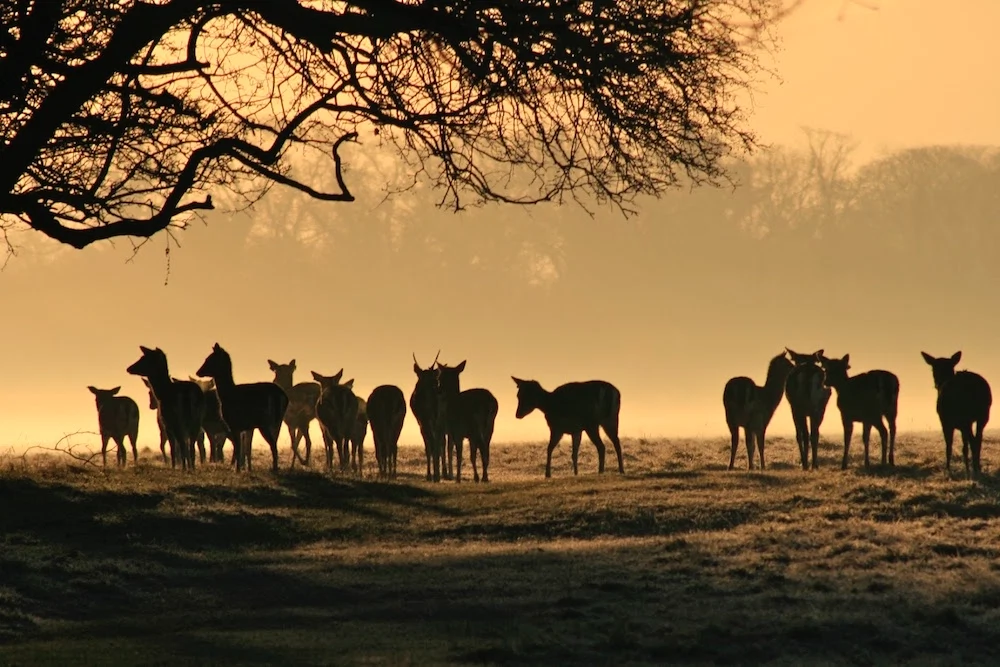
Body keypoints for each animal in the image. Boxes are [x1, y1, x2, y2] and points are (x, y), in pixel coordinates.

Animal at [196, 343, 289, 472]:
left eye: (210, 359)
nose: (198, 372)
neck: (226, 395)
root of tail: (282, 396)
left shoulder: (234, 423)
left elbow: (238, 447)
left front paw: (237, 470)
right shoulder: (246, 427)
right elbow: (245, 448)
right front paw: (244, 468)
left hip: (264, 421)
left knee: (273, 445)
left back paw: (274, 468)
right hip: (277, 421)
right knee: (275, 442)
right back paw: (275, 467)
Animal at [410, 352, 447, 482]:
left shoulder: (422, 421)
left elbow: (429, 446)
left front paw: (430, 474)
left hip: (429, 420)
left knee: (435, 443)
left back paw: (436, 475)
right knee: (440, 442)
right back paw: (442, 473)